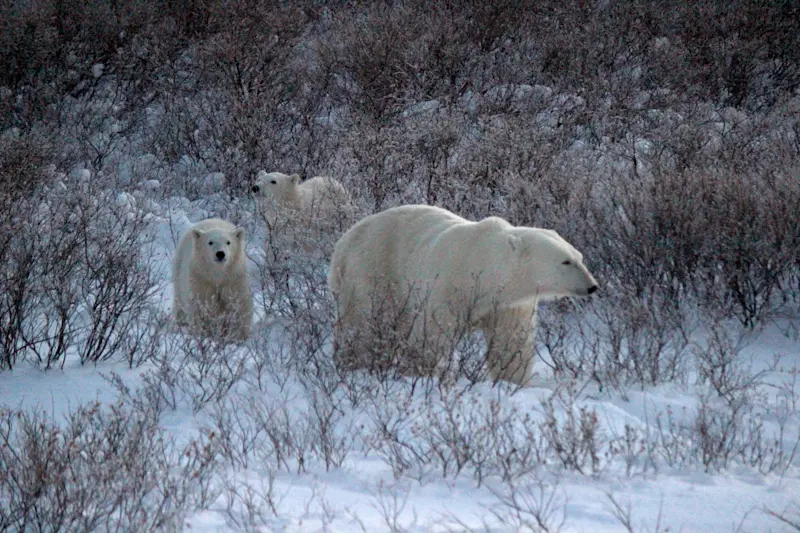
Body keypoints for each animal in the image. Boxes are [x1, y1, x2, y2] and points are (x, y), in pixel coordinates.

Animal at [327, 204, 598, 386]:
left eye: (580, 257)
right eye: (566, 261)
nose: (592, 286)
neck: (483, 265)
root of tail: (342, 244)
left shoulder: (508, 303)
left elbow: (511, 342)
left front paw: (513, 381)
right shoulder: (449, 285)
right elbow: (432, 334)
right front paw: (420, 372)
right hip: (373, 268)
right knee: (364, 323)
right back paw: (355, 362)